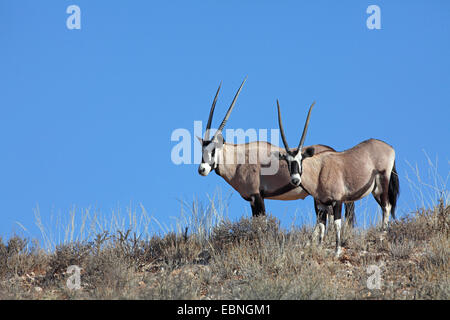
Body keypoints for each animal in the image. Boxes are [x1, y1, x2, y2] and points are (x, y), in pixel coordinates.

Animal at [276, 100, 400, 255]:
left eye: (301, 159)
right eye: (287, 161)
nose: (295, 180)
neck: (319, 171)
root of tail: (390, 147)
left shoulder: (338, 201)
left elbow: (336, 224)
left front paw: (337, 251)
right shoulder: (321, 205)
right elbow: (322, 226)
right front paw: (320, 248)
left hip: (383, 182)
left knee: (387, 206)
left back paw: (382, 237)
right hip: (375, 190)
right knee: (385, 206)